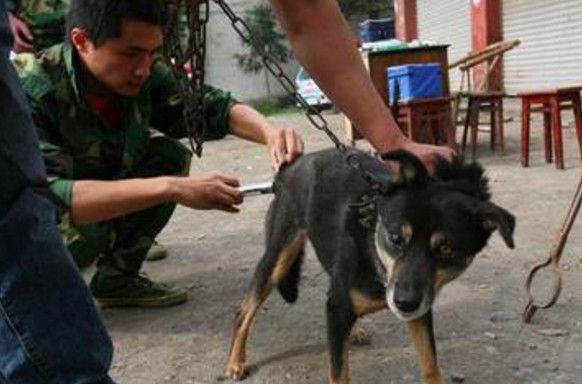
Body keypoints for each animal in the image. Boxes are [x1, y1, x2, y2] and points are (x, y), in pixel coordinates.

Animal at [226, 148, 516, 384]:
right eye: (396, 238)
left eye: (446, 249)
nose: (404, 303)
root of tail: (291, 165)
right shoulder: (343, 307)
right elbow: (338, 373)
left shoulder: (419, 309)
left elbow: (431, 364)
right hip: (278, 257)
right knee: (244, 311)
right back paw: (235, 362)